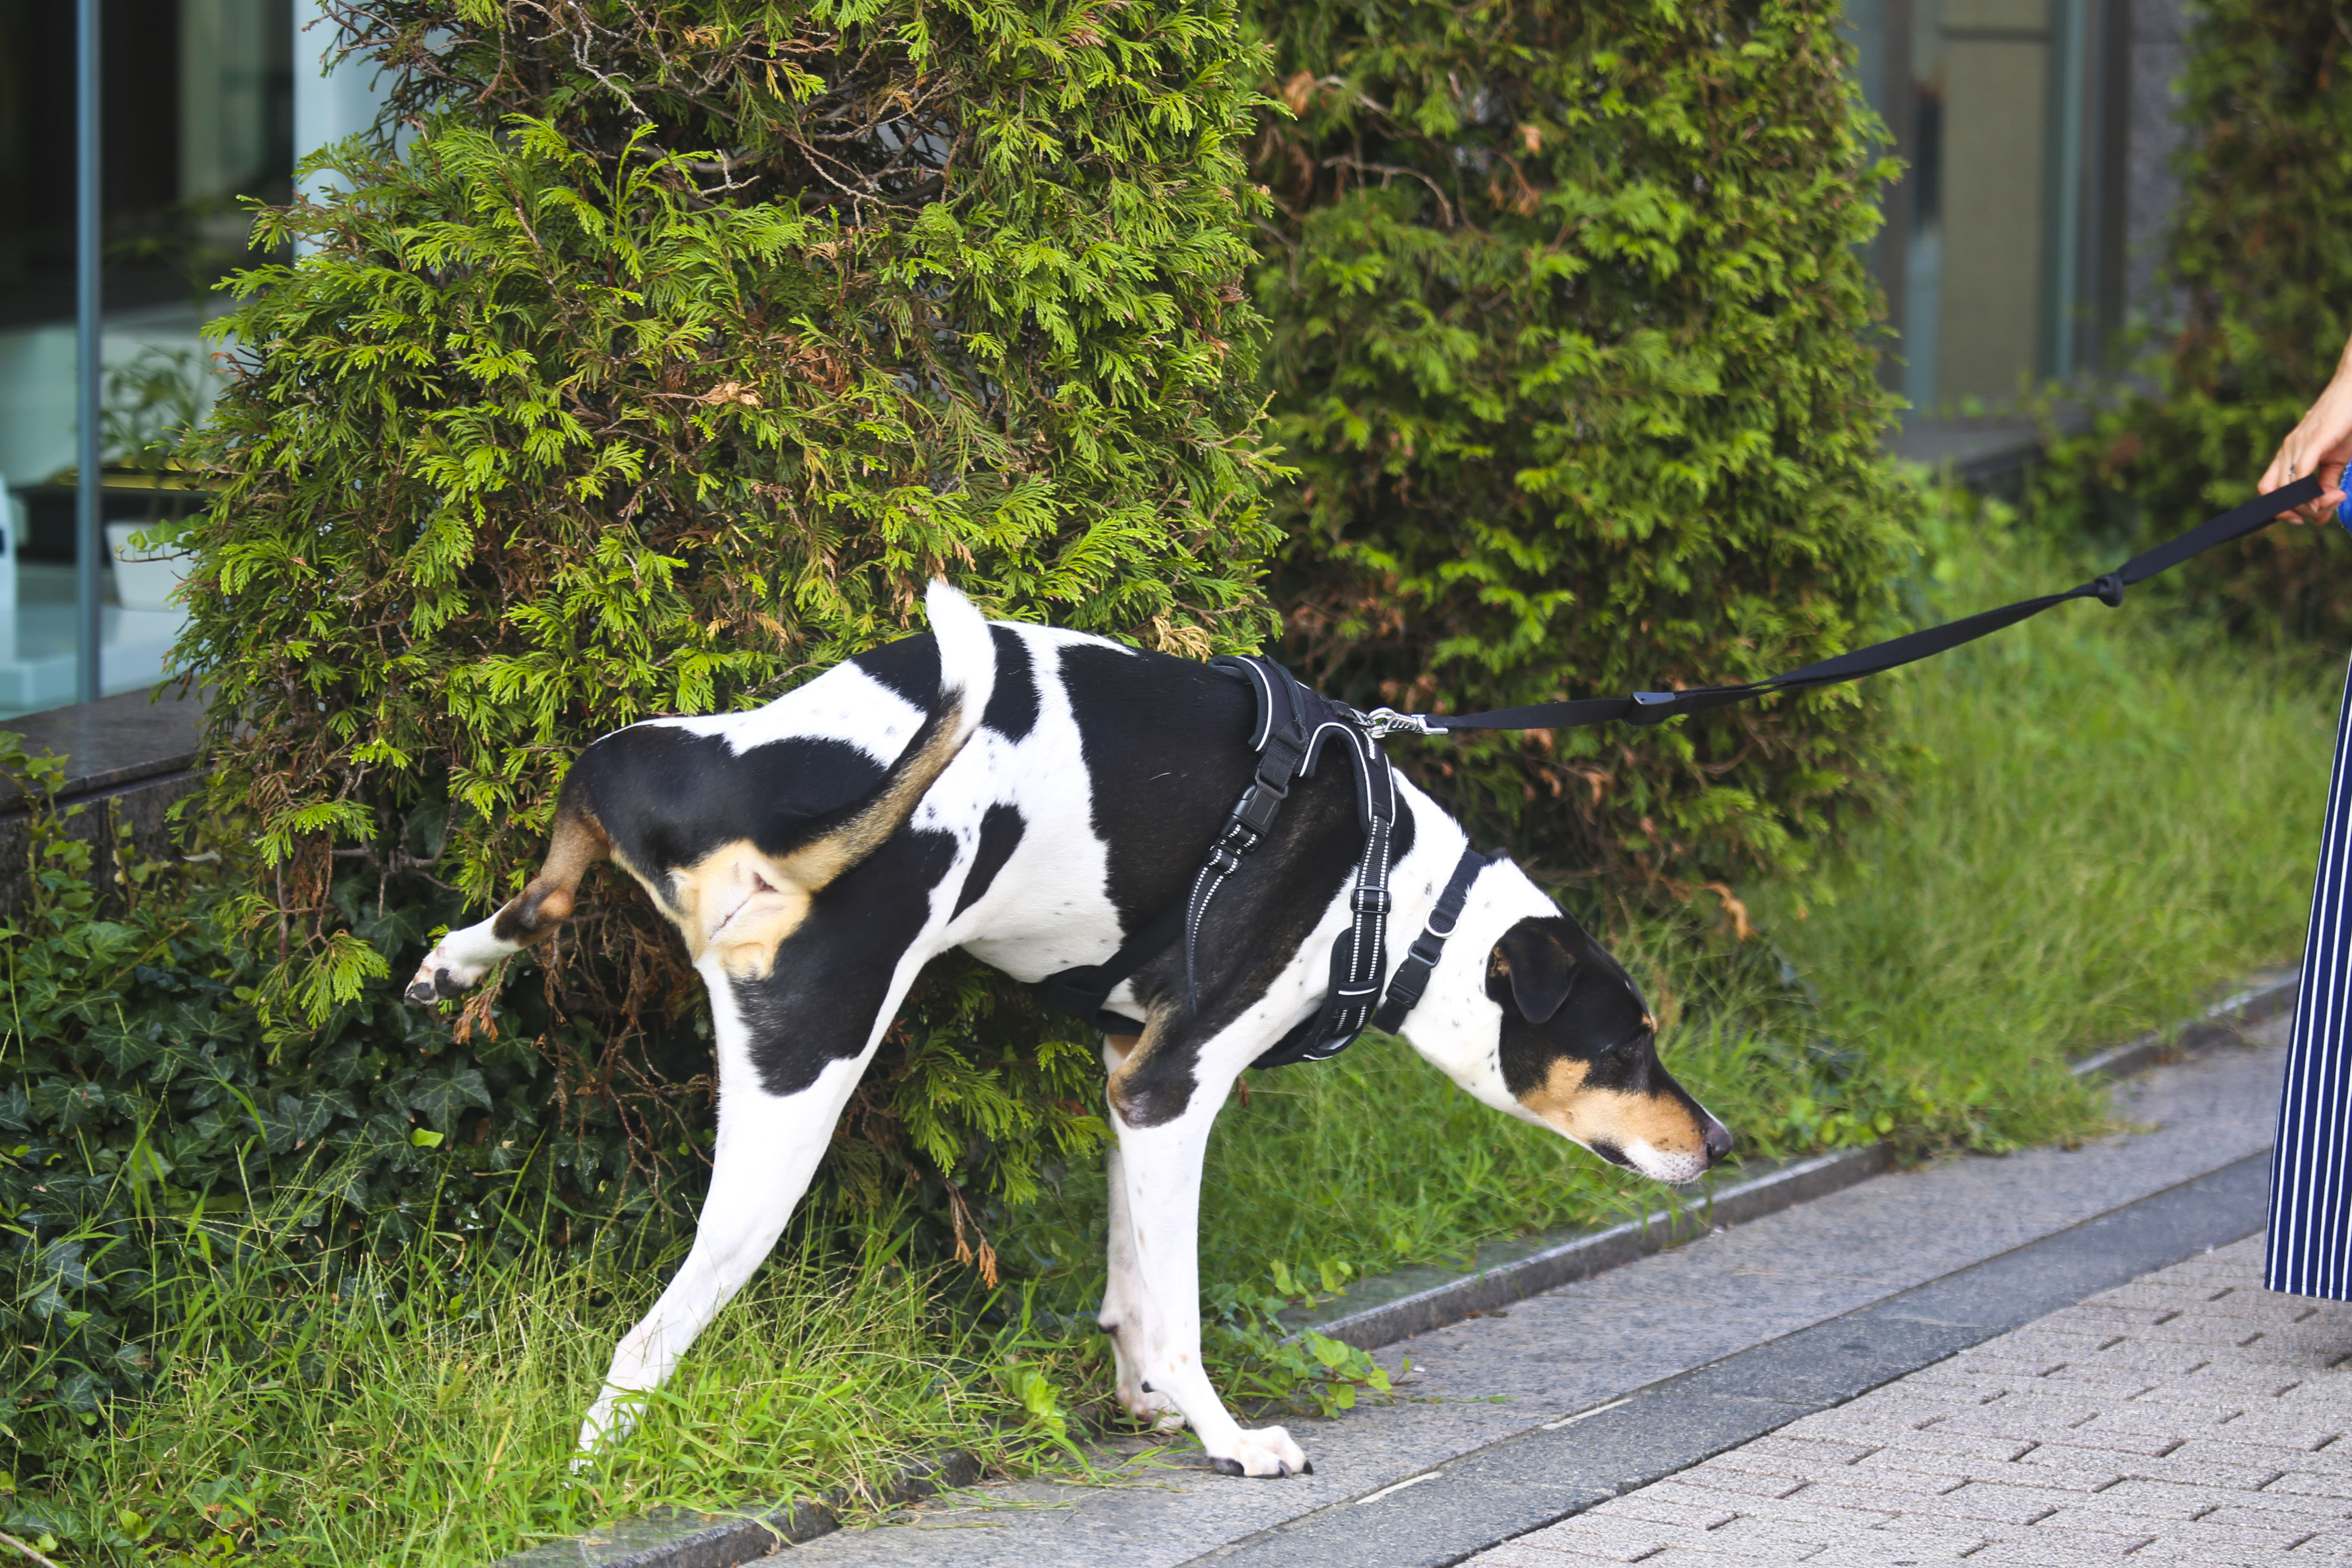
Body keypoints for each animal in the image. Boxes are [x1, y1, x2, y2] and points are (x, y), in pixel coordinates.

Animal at [405, 583, 1731, 1476]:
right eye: (1628, 1047)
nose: (1719, 1143)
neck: (1391, 895)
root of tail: (761, 818)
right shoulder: (1172, 1092)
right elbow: (1177, 1307)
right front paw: (1226, 1438)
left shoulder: (1125, 1075)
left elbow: (1131, 1282)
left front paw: (1146, 1397)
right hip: (792, 1112)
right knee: (647, 1339)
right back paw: (597, 1467)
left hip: (634, 762)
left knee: (551, 879)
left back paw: (453, 961)